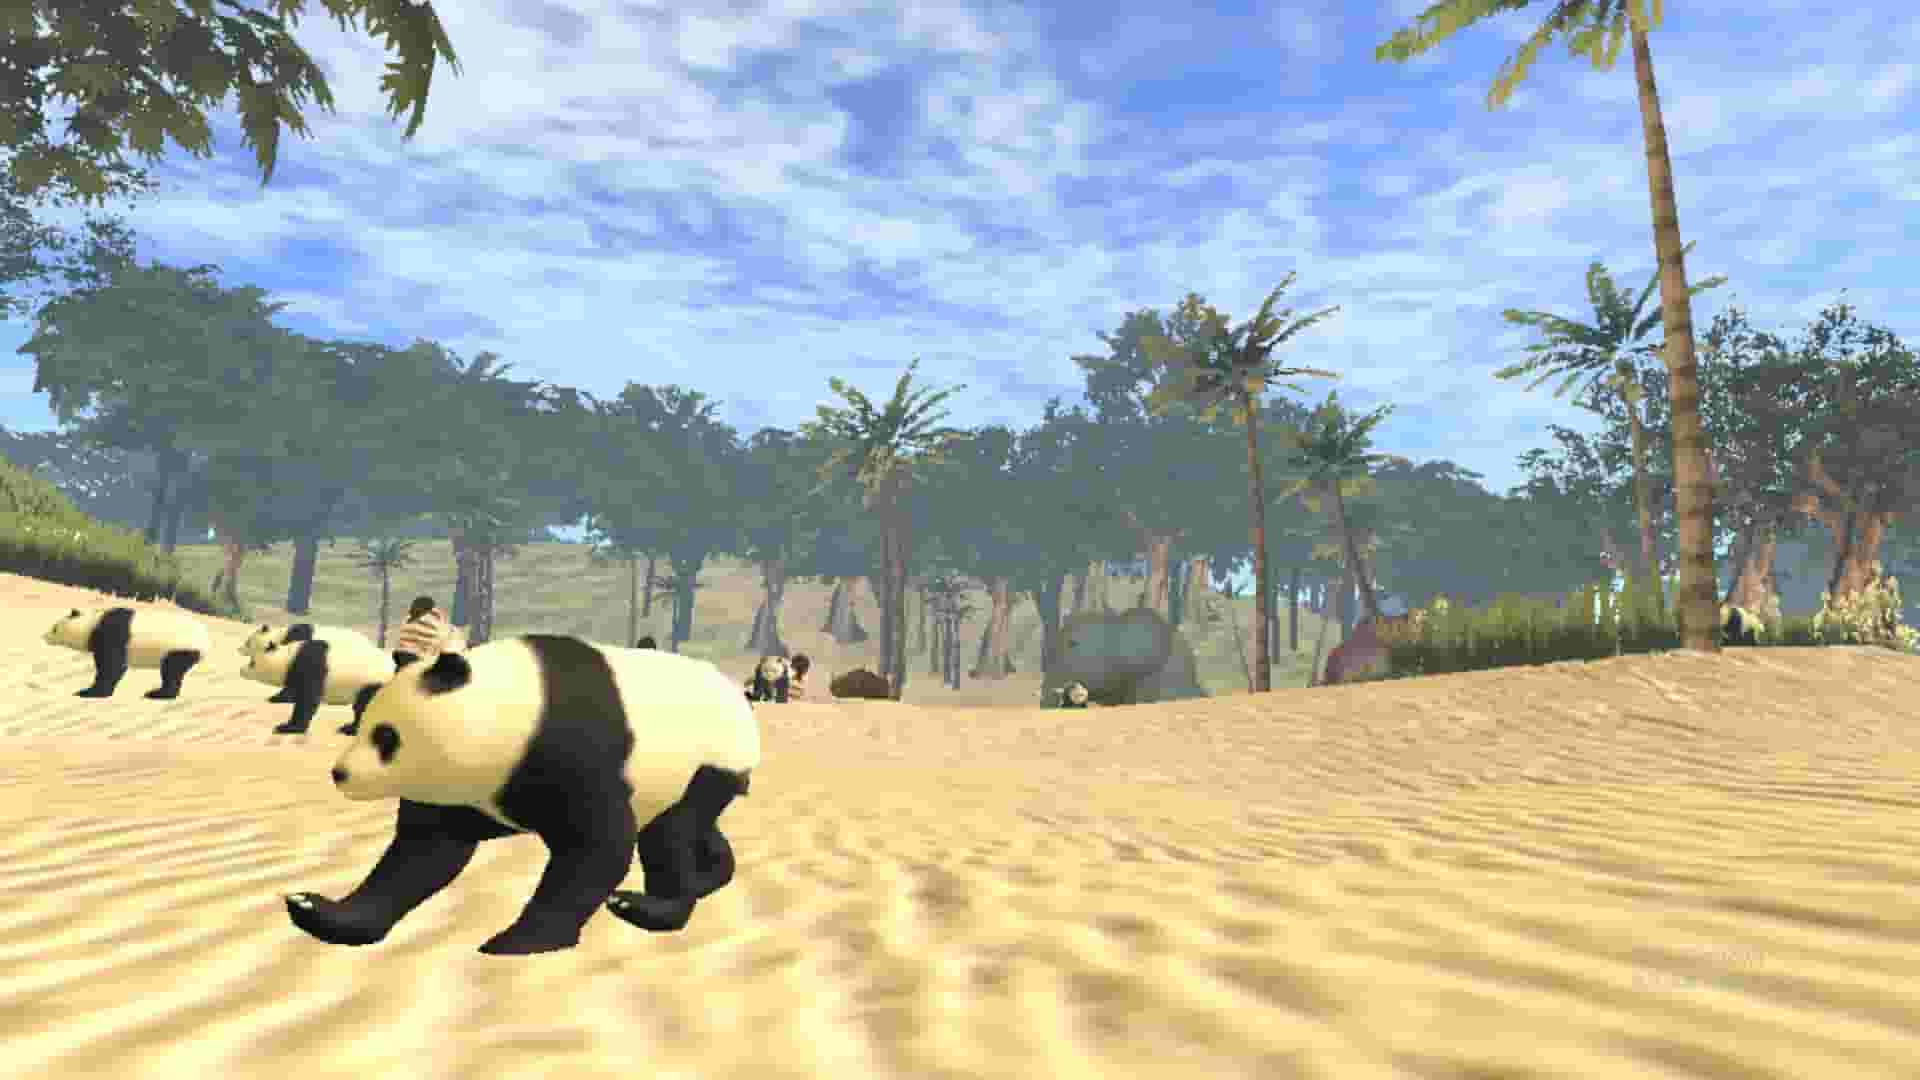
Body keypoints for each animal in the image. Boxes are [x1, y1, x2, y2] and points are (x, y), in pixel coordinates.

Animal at [43, 606, 210, 699]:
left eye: (55, 628)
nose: (45, 637)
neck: (92, 624)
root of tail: (205, 642)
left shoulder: (112, 634)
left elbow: (112, 667)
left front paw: (90, 692)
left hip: (178, 649)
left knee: (171, 672)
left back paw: (157, 694)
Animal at [242, 638, 397, 736]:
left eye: (252, 663)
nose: (242, 670)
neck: (289, 656)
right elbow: (294, 691)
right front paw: (276, 698)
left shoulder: (312, 664)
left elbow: (308, 699)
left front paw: (289, 727)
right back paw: (350, 727)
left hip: (374, 682)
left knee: (366, 706)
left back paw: (353, 730)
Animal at [285, 635, 759, 956]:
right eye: (363, 723)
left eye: (387, 737)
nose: (341, 774)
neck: (514, 704)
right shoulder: (463, 792)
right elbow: (423, 854)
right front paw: (315, 908)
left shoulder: (577, 750)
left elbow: (597, 848)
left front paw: (518, 941)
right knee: (695, 830)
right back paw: (708, 874)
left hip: (705, 765)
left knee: (673, 834)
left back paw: (645, 906)